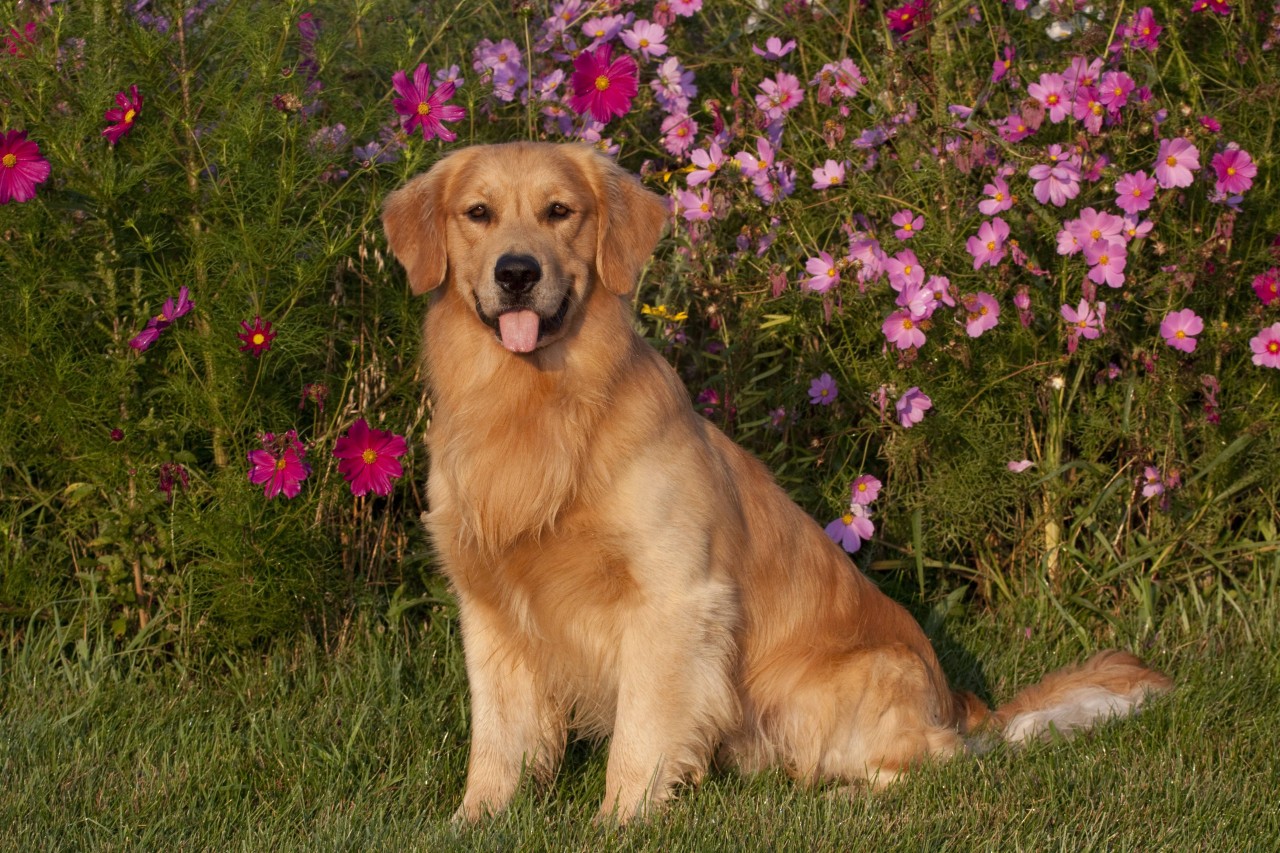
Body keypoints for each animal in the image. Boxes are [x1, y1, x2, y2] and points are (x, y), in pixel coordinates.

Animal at [376, 142, 1172, 819]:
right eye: (478, 212)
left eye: (558, 211)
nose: (517, 272)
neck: (535, 406)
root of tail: (958, 701)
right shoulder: (489, 609)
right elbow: (497, 738)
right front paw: (474, 819)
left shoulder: (673, 597)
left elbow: (641, 731)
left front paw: (620, 819)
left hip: (814, 688)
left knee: (934, 762)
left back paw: (845, 798)